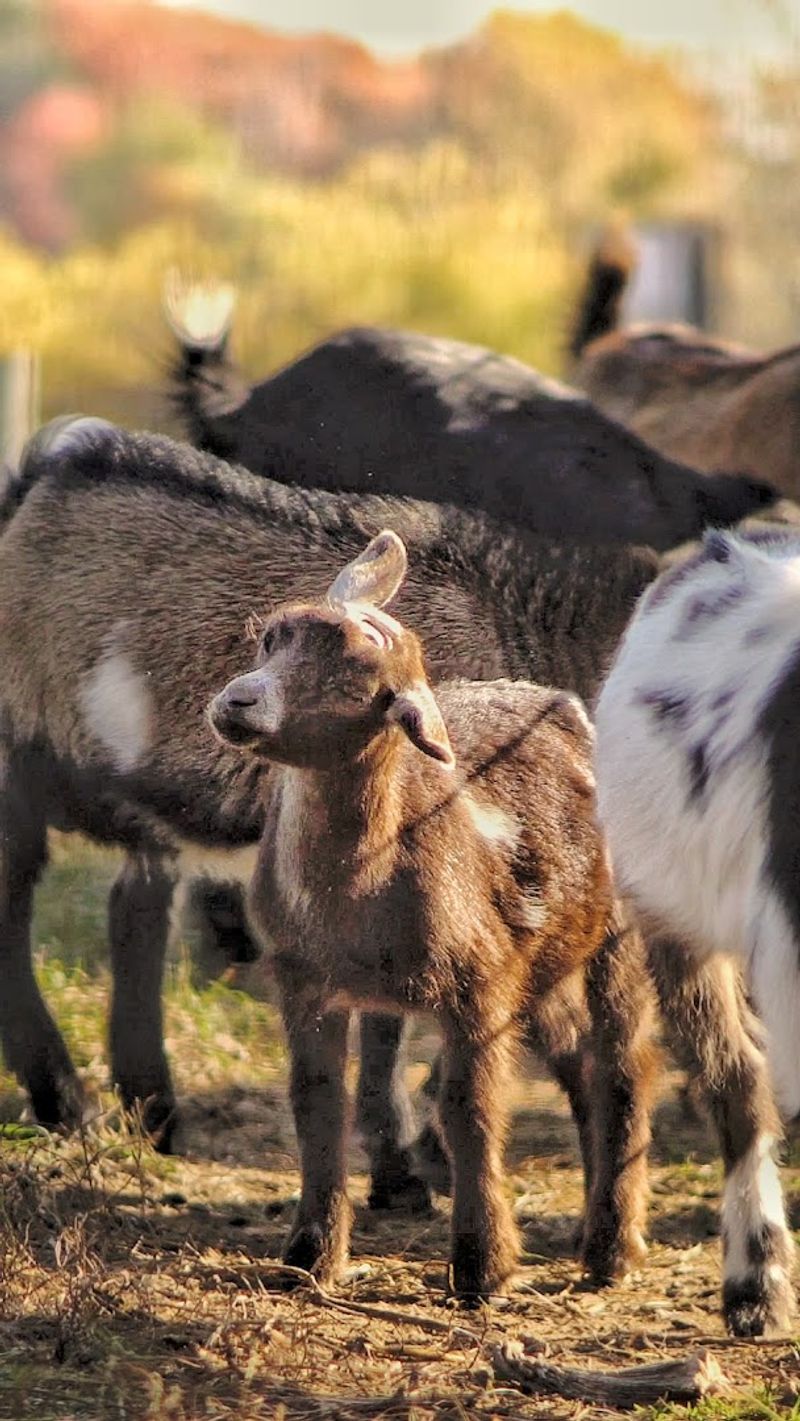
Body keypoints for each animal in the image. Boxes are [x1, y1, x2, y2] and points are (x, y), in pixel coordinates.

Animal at [209, 529, 655, 1299]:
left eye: (359, 676)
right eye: (271, 637)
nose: (239, 701)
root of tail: (559, 700)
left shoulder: (478, 983)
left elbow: (469, 1108)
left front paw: (482, 1267)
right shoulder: (303, 982)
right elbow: (317, 1104)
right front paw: (309, 1257)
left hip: (615, 929)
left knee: (624, 1063)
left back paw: (613, 1250)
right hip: (540, 961)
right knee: (580, 1063)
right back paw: (589, 1228)